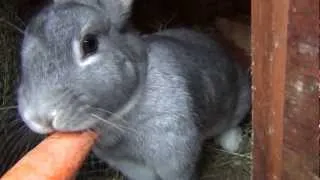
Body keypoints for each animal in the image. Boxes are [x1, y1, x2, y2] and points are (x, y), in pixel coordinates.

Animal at [17, 0, 251, 180]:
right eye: (24, 50)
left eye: (89, 43)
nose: (40, 117)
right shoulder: (130, 165)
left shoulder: (176, 156)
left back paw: (232, 142)